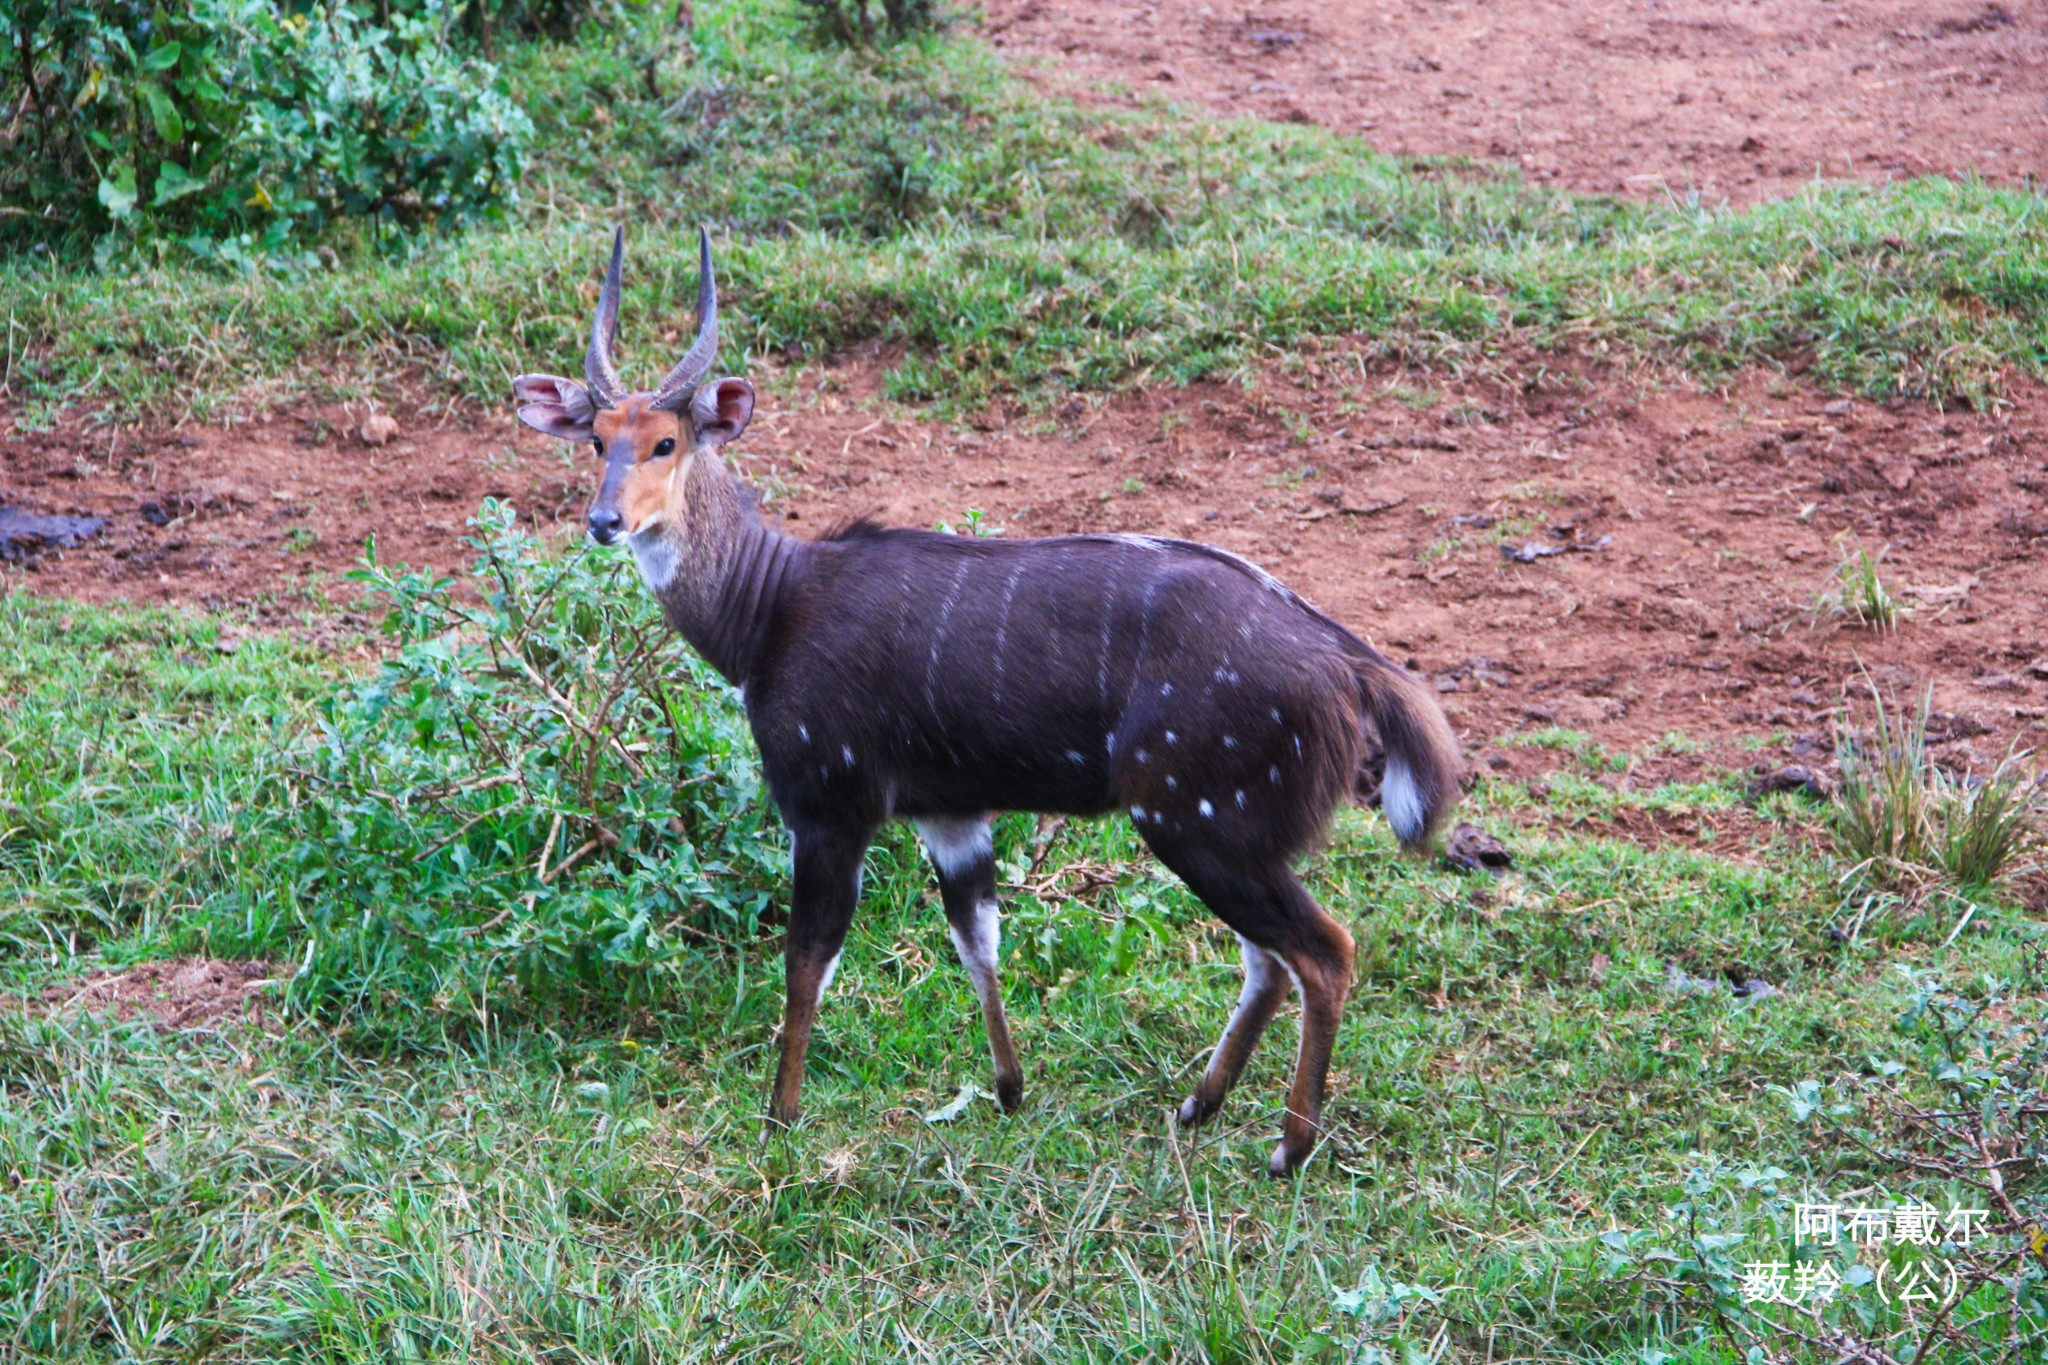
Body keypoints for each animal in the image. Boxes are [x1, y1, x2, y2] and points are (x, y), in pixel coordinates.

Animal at [520, 227, 1466, 1178]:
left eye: (666, 441)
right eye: (597, 438)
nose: (604, 522)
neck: (770, 608)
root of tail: (1352, 666)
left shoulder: (830, 802)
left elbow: (807, 960)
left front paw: (778, 1124)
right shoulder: (949, 813)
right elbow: (978, 937)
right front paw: (1010, 1090)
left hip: (1197, 819)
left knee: (1325, 949)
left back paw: (1289, 1144)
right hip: (1227, 830)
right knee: (1270, 959)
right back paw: (1199, 1104)